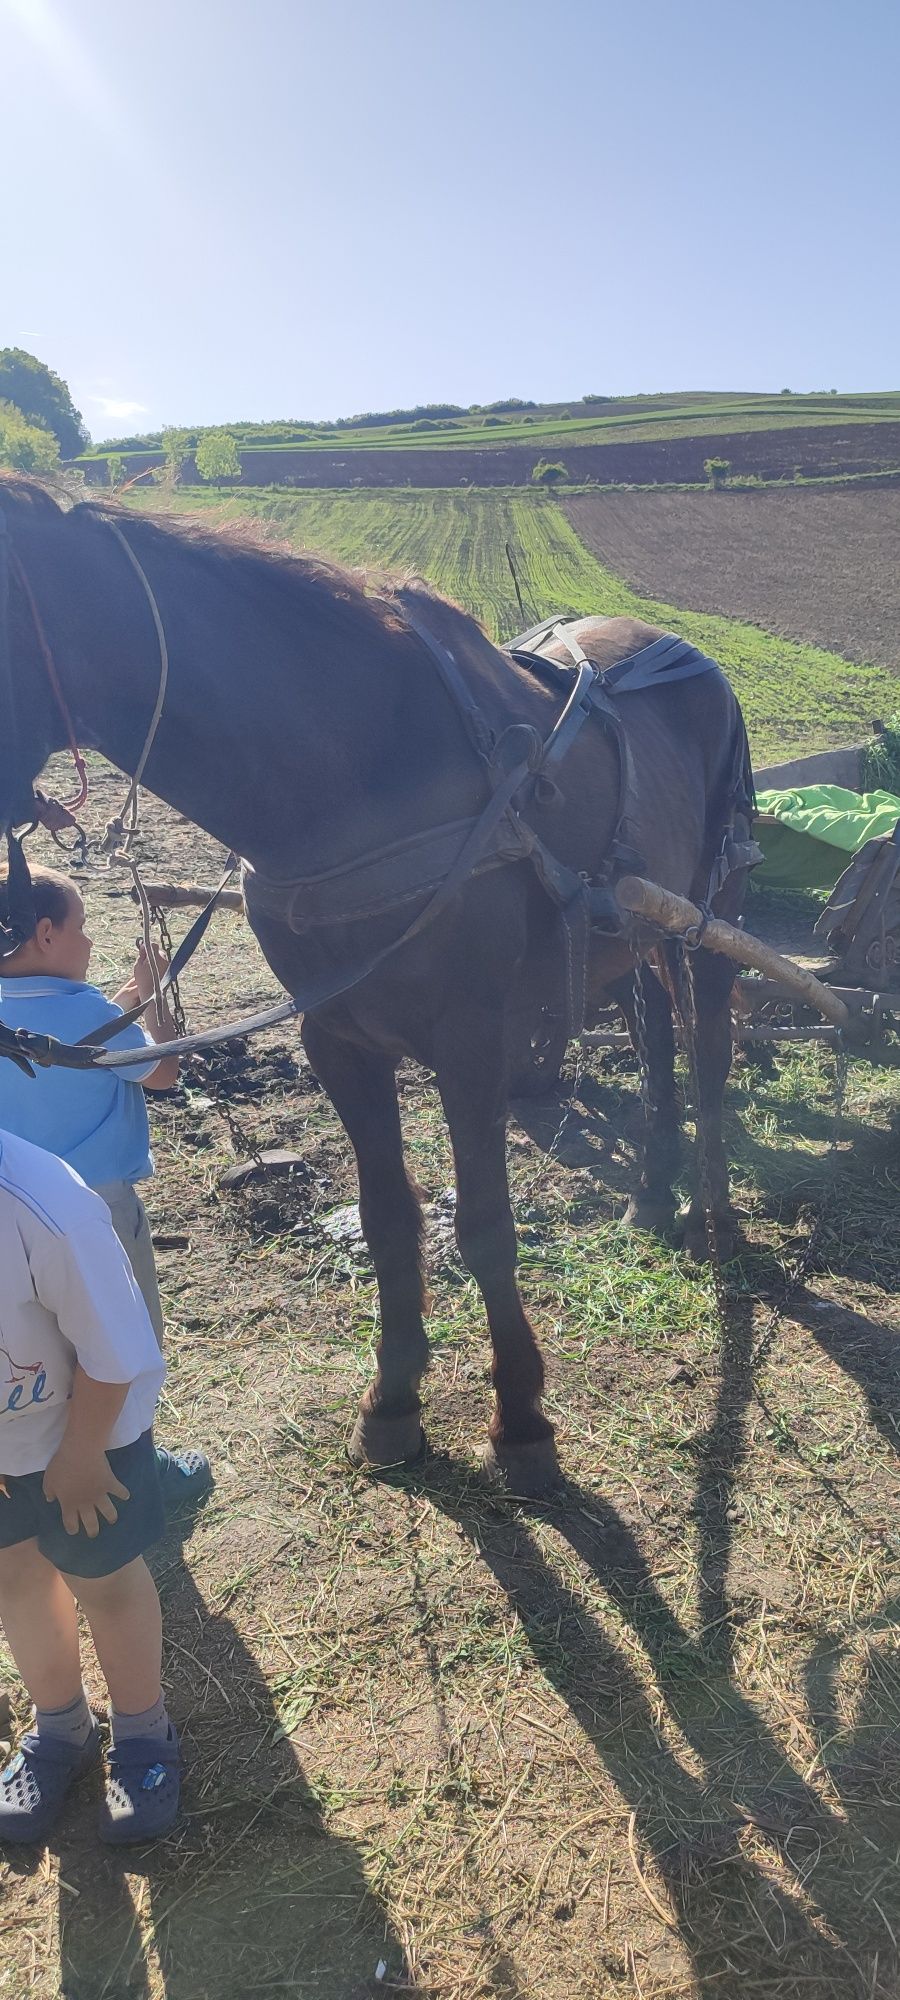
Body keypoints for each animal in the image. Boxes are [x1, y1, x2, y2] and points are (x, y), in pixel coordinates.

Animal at [0, 476, 752, 1496]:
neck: (351, 778)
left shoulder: (472, 1040)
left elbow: (485, 1223)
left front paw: (521, 1418)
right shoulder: (338, 1037)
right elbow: (391, 1217)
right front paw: (393, 1402)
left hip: (710, 908)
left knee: (708, 1045)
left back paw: (713, 1214)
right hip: (633, 930)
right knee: (655, 1038)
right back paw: (652, 1192)